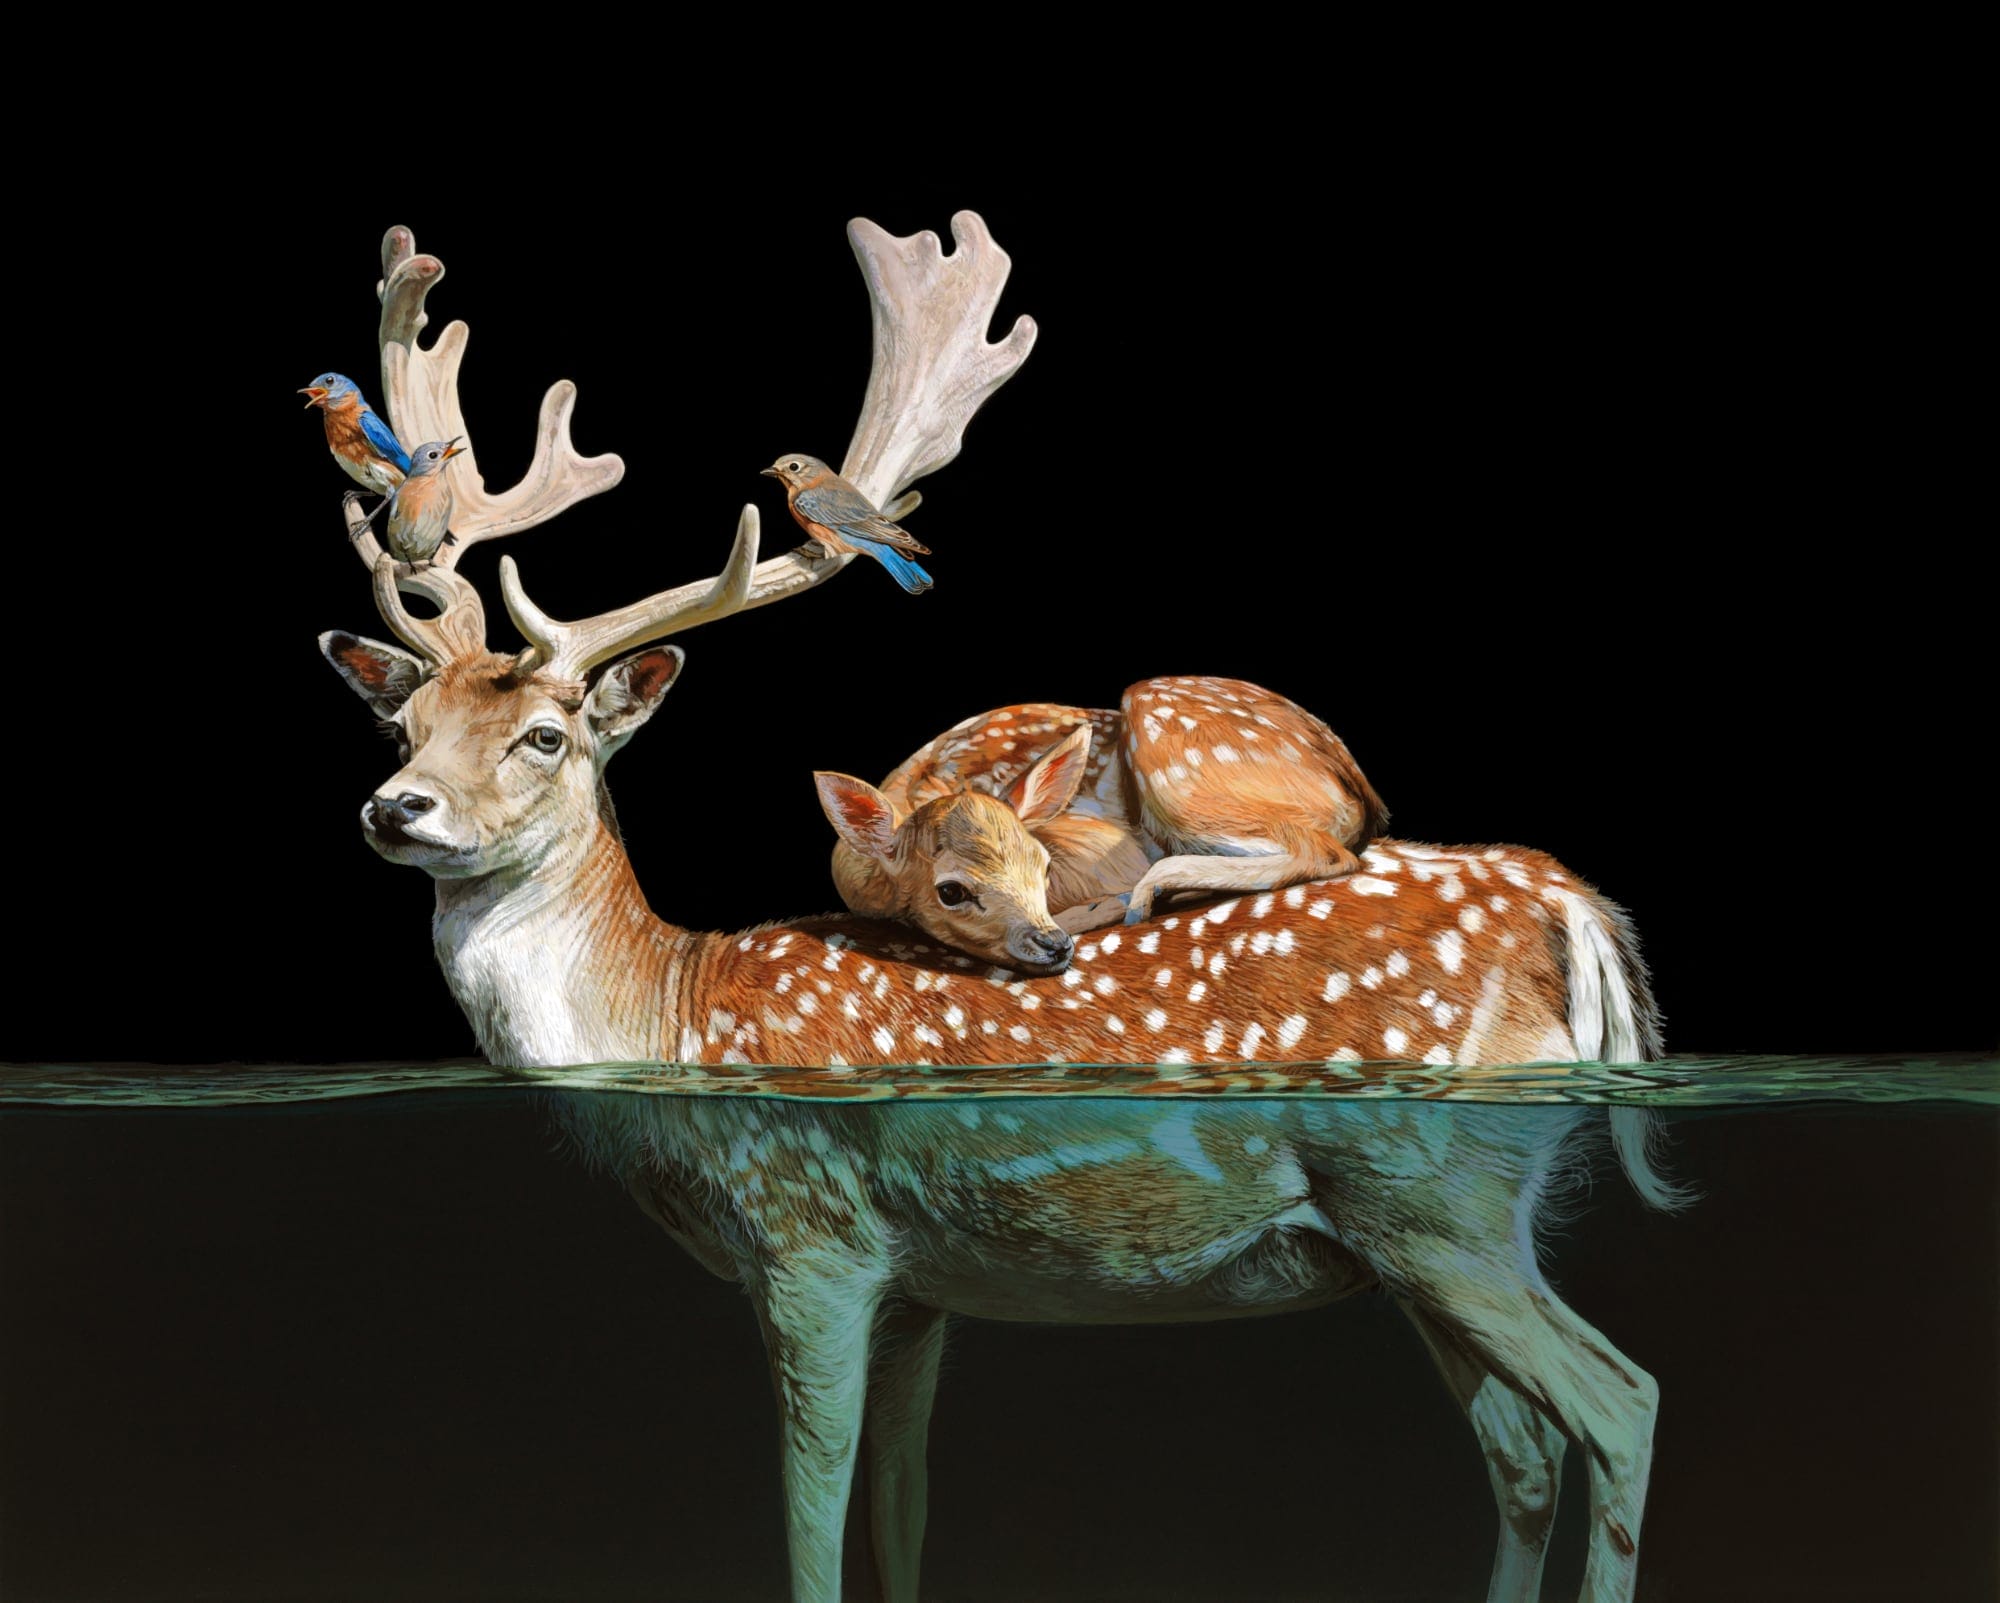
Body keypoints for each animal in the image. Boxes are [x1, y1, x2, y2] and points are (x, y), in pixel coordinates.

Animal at [817, 674, 1390, 969]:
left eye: (1044, 866)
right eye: (951, 891)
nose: (1052, 945)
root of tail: (1357, 785)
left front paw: (1107, 904)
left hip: (1179, 767)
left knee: (1324, 852)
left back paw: (1142, 897)